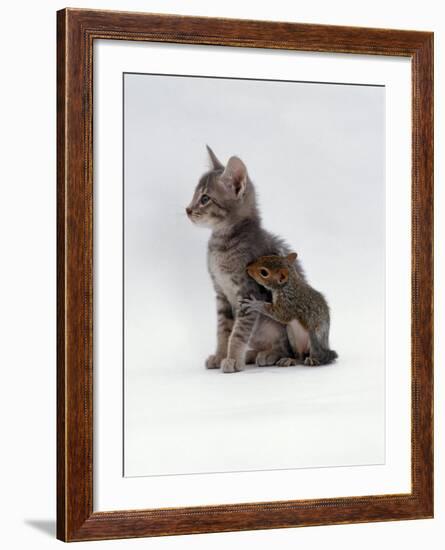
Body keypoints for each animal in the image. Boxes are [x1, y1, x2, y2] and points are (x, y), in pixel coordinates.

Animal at [185, 146, 306, 376]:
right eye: (194, 195)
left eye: (205, 198)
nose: (187, 209)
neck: (222, 244)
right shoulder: (221, 295)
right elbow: (224, 330)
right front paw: (220, 356)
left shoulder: (248, 293)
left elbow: (238, 332)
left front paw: (232, 358)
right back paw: (253, 354)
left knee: (289, 349)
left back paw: (272, 355)